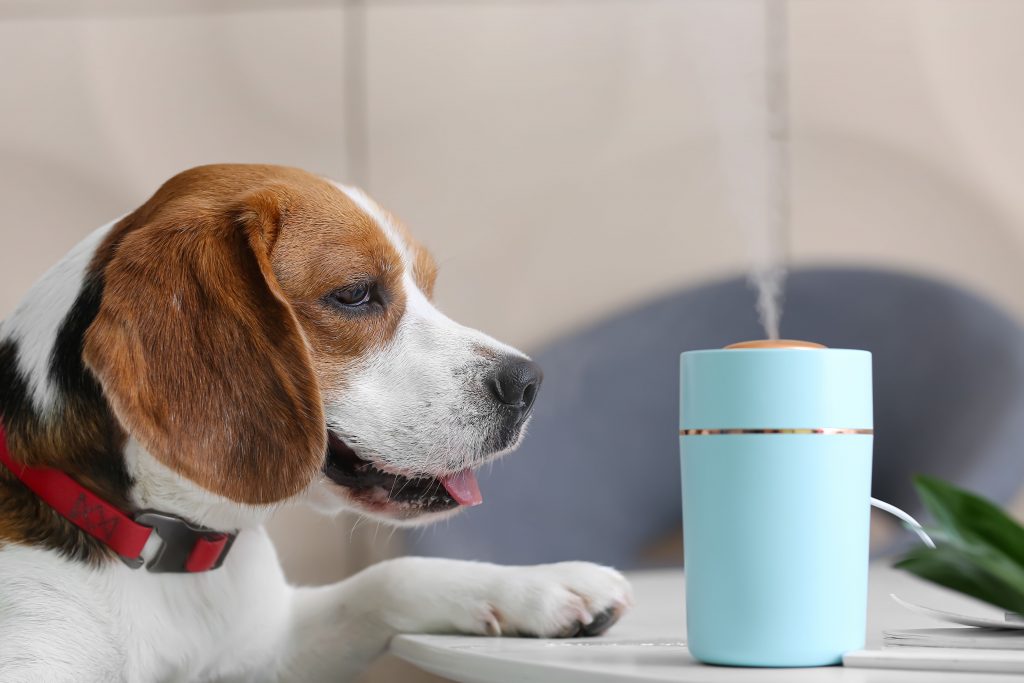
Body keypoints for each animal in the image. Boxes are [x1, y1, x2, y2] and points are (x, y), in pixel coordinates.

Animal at [0, 165, 630, 683]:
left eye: (427, 289)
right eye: (354, 294)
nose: (529, 383)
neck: (172, 561)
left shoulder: (270, 648)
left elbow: (385, 578)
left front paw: (541, 584)